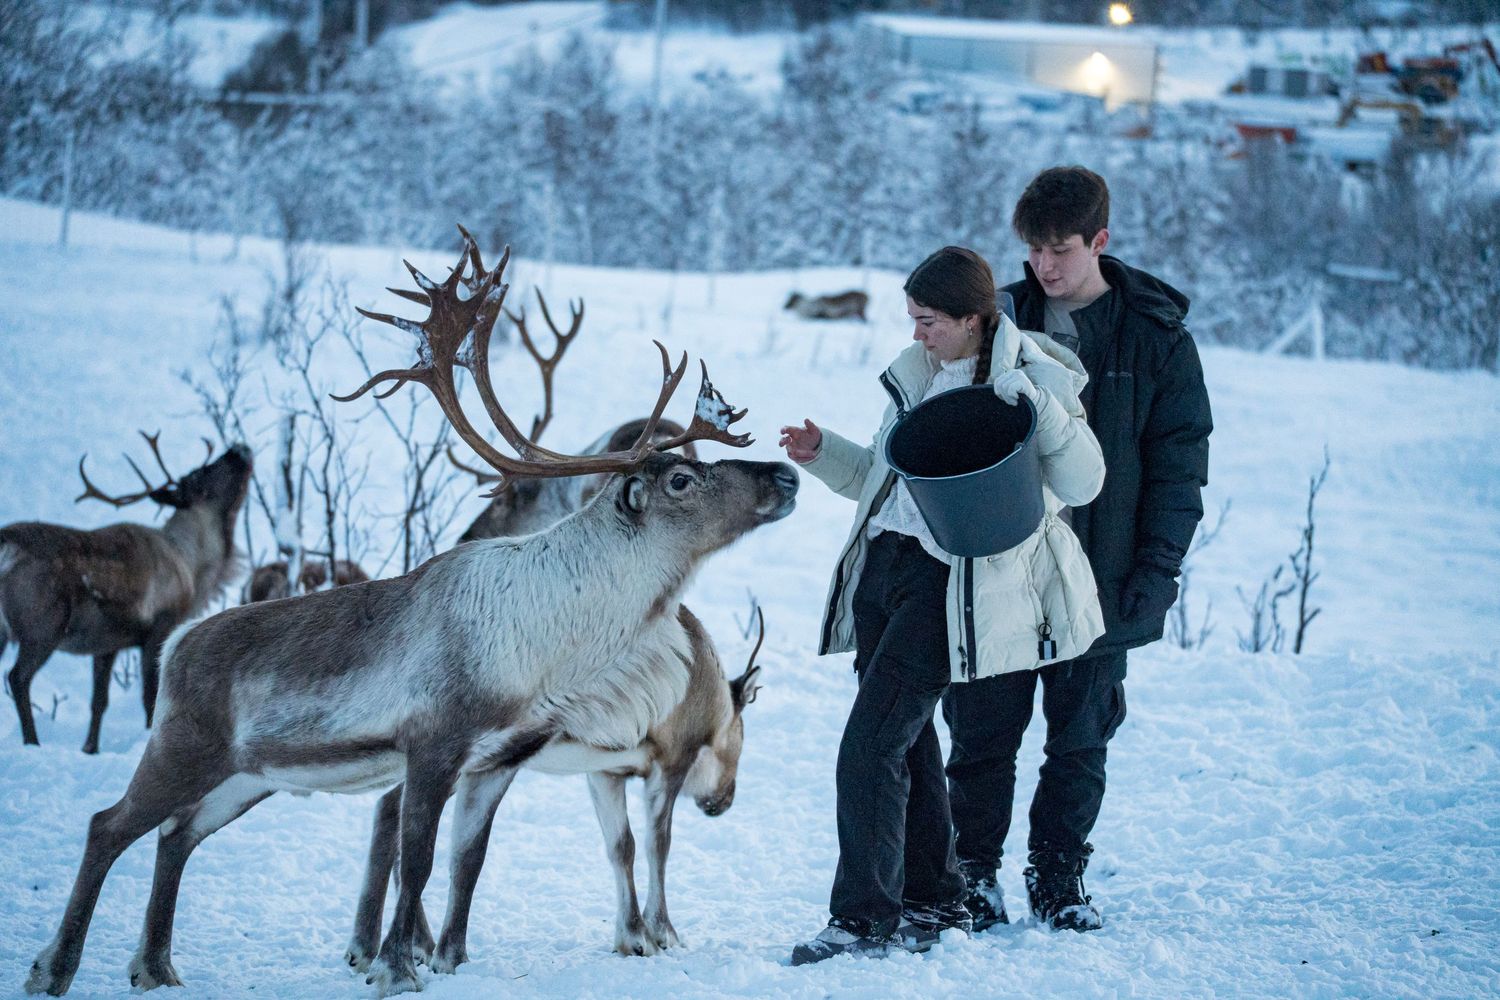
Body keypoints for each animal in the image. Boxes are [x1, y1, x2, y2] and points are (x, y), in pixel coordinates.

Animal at [0, 435, 252, 754]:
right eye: (199, 473)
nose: (238, 447)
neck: (194, 567)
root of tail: (6, 542)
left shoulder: (107, 644)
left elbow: (99, 702)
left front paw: (90, 749)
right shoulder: (160, 626)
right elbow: (149, 696)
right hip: (42, 625)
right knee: (18, 678)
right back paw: (32, 743)